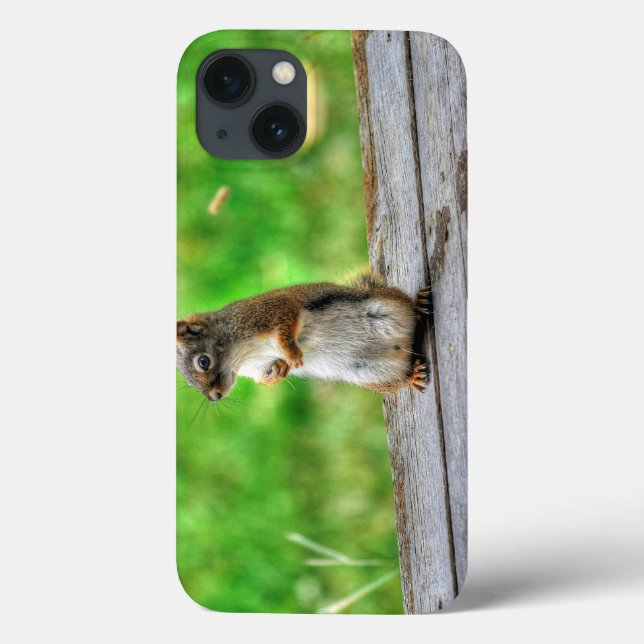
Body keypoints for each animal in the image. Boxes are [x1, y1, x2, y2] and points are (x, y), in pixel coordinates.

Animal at [176, 274, 431, 401]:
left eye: (203, 362)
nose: (214, 397)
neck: (244, 357)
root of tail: (405, 344)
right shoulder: (258, 367)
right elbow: (268, 375)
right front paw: (277, 372)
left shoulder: (268, 311)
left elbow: (285, 325)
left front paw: (292, 352)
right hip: (375, 374)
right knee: (397, 379)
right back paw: (411, 378)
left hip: (387, 306)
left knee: (410, 312)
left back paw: (419, 306)